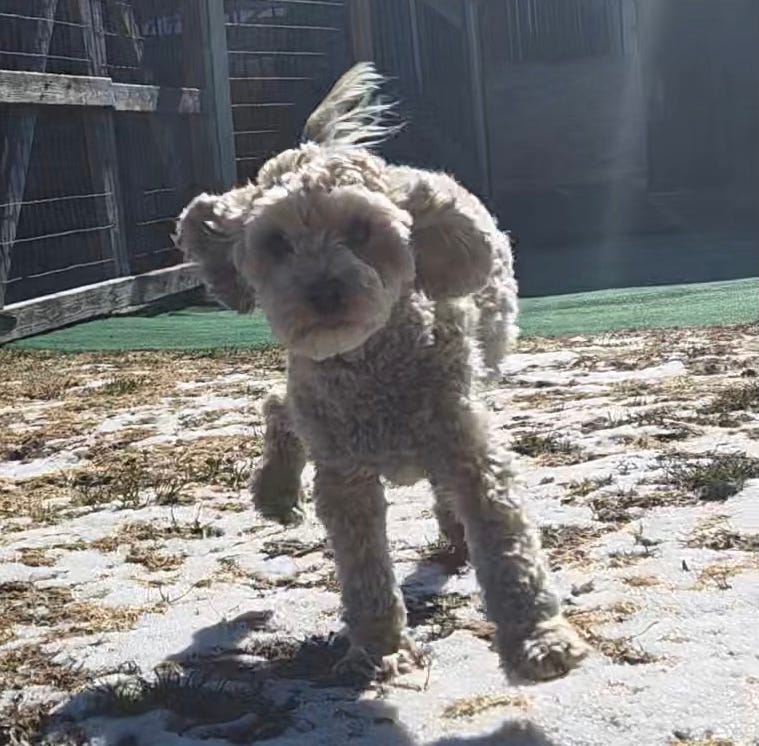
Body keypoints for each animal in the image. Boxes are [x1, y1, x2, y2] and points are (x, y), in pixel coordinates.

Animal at [175, 63, 589, 683]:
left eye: (361, 229)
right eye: (276, 242)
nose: (324, 291)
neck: (372, 366)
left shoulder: (471, 453)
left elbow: (508, 550)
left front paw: (539, 638)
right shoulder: (344, 476)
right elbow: (365, 570)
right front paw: (379, 649)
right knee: (278, 406)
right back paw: (276, 490)